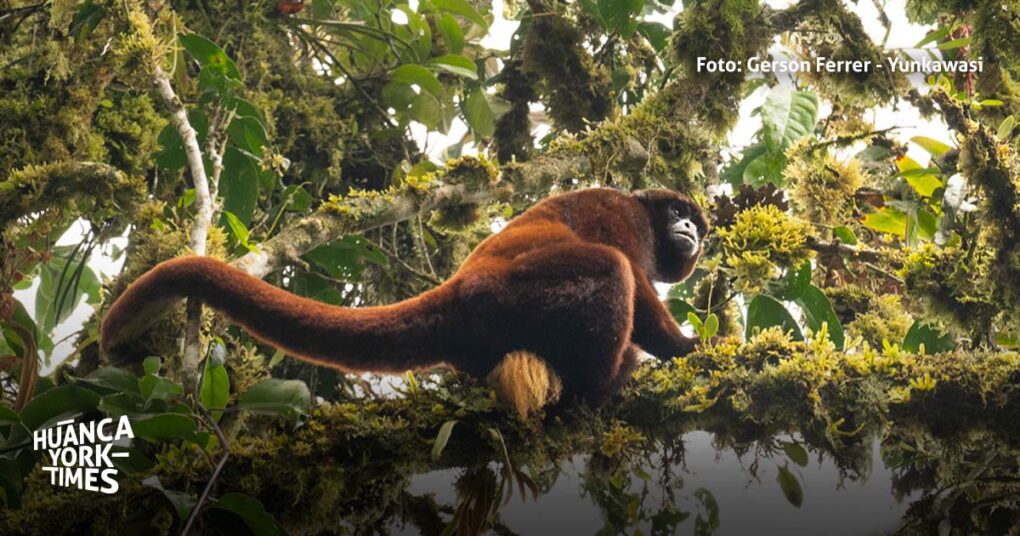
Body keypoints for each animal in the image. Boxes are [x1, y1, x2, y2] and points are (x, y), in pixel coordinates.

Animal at [101, 187, 709, 414]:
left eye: (696, 224)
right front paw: (686, 348)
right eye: (678, 213)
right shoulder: (621, 214)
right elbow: (633, 275)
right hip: (508, 295)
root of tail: (455, 290)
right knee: (609, 270)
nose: (691, 231)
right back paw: (599, 385)